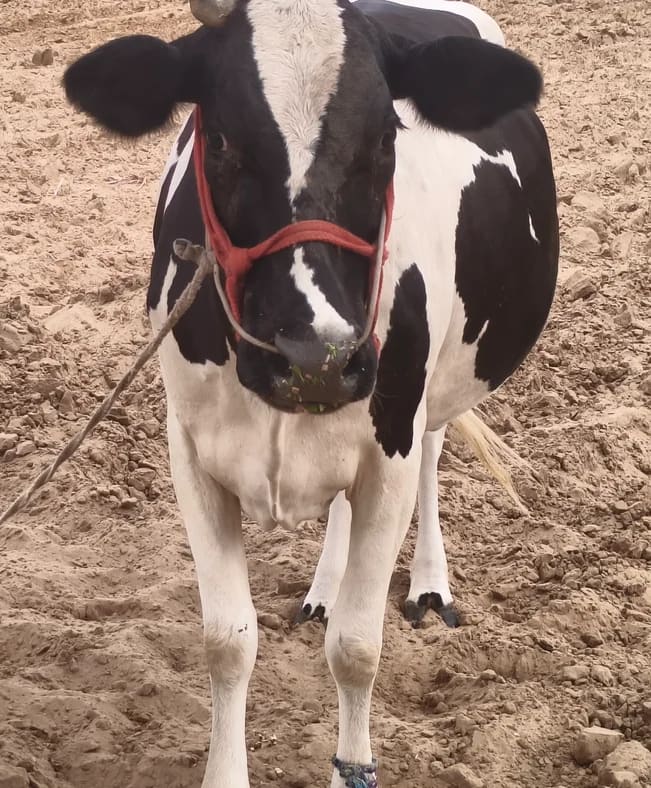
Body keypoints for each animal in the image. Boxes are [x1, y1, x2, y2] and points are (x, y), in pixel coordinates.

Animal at [63, 0, 559, 784]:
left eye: (386, 136)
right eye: (221, 138)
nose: (315, 356)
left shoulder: (389, 447)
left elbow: (357, 649)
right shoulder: (190, 454)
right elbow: (226, 640)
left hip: (435, 386)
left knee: (433, 453)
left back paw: (428, 583)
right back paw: (324, 588)